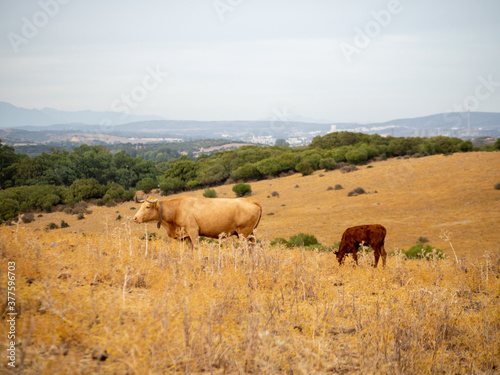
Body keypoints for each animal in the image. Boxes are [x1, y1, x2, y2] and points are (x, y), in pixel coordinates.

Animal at [133, 197, 266, 256]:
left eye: (147, 207)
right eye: (141, 206)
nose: (135, 218)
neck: (177, 209)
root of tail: (251, 200)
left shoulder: (193, 231)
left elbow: (196, 247)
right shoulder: (186, 235)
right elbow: (190, 249)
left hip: (243, 233)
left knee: (245, 248)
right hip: (249, 233)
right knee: (252, 246)